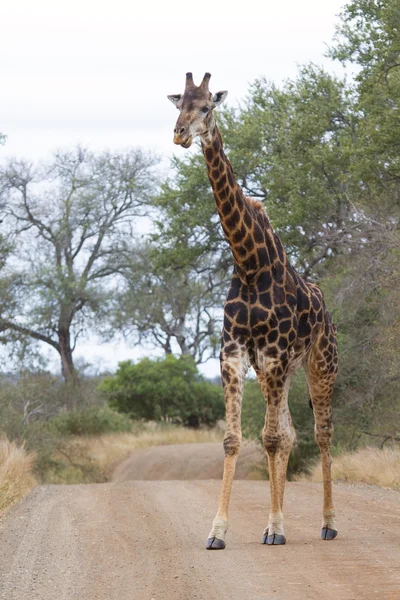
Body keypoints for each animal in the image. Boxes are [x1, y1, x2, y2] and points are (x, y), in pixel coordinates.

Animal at [167, 72, 340, 552]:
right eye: (178, 104)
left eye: (207, 106)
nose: (180, 134)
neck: (249, 261)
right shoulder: (235, 352)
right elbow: (235, 439)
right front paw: (218, 532)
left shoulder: (276, 353)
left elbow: (270, 437)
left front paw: (277, 527)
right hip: (273, 370)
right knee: (292, 433)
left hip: (319, 364)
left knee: (320, 434)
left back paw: (326, 522)